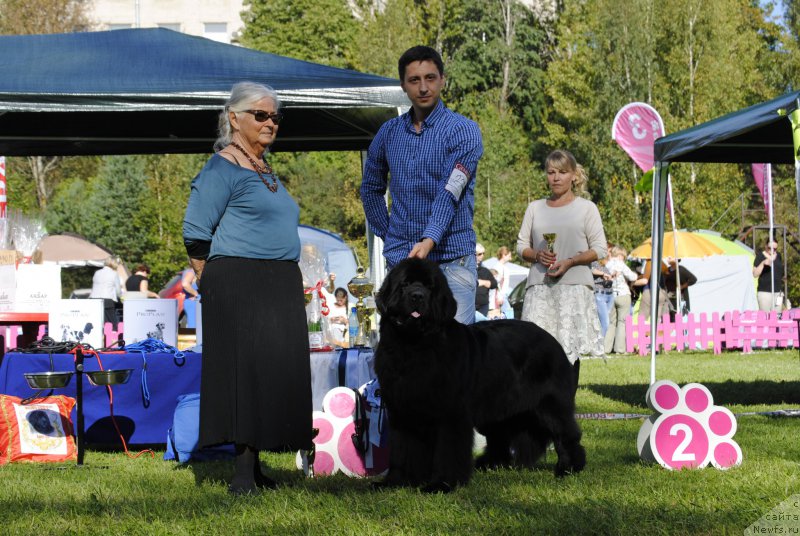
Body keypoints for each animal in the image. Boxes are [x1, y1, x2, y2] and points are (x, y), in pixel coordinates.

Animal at [372, 258, 584, 492]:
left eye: (430, 287)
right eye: (405, 284)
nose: (417, 295)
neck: (413, 345)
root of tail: (554, 342)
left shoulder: (451, 412)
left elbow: (448, 451)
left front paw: (442, 484)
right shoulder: (402, 410)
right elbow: (402, 449)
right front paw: (395, 482)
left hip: (549, 404)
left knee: (566, 434)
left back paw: (569, 468)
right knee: (500, 436)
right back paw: (489, 464)